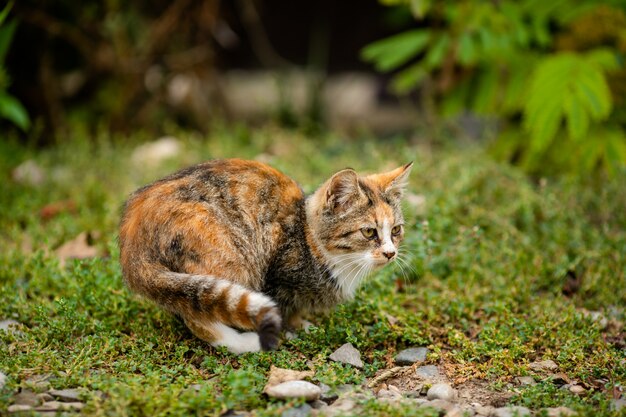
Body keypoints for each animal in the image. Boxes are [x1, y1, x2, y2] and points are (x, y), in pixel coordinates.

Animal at [118, 158, 410, 352]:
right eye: (369, 232)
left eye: (396, 230)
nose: (390, 253)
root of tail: (133, 237)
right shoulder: (277, 275)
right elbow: (284, 307)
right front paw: (297, 327)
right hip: (231, 256)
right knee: (200, 316)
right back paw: (245, 342)